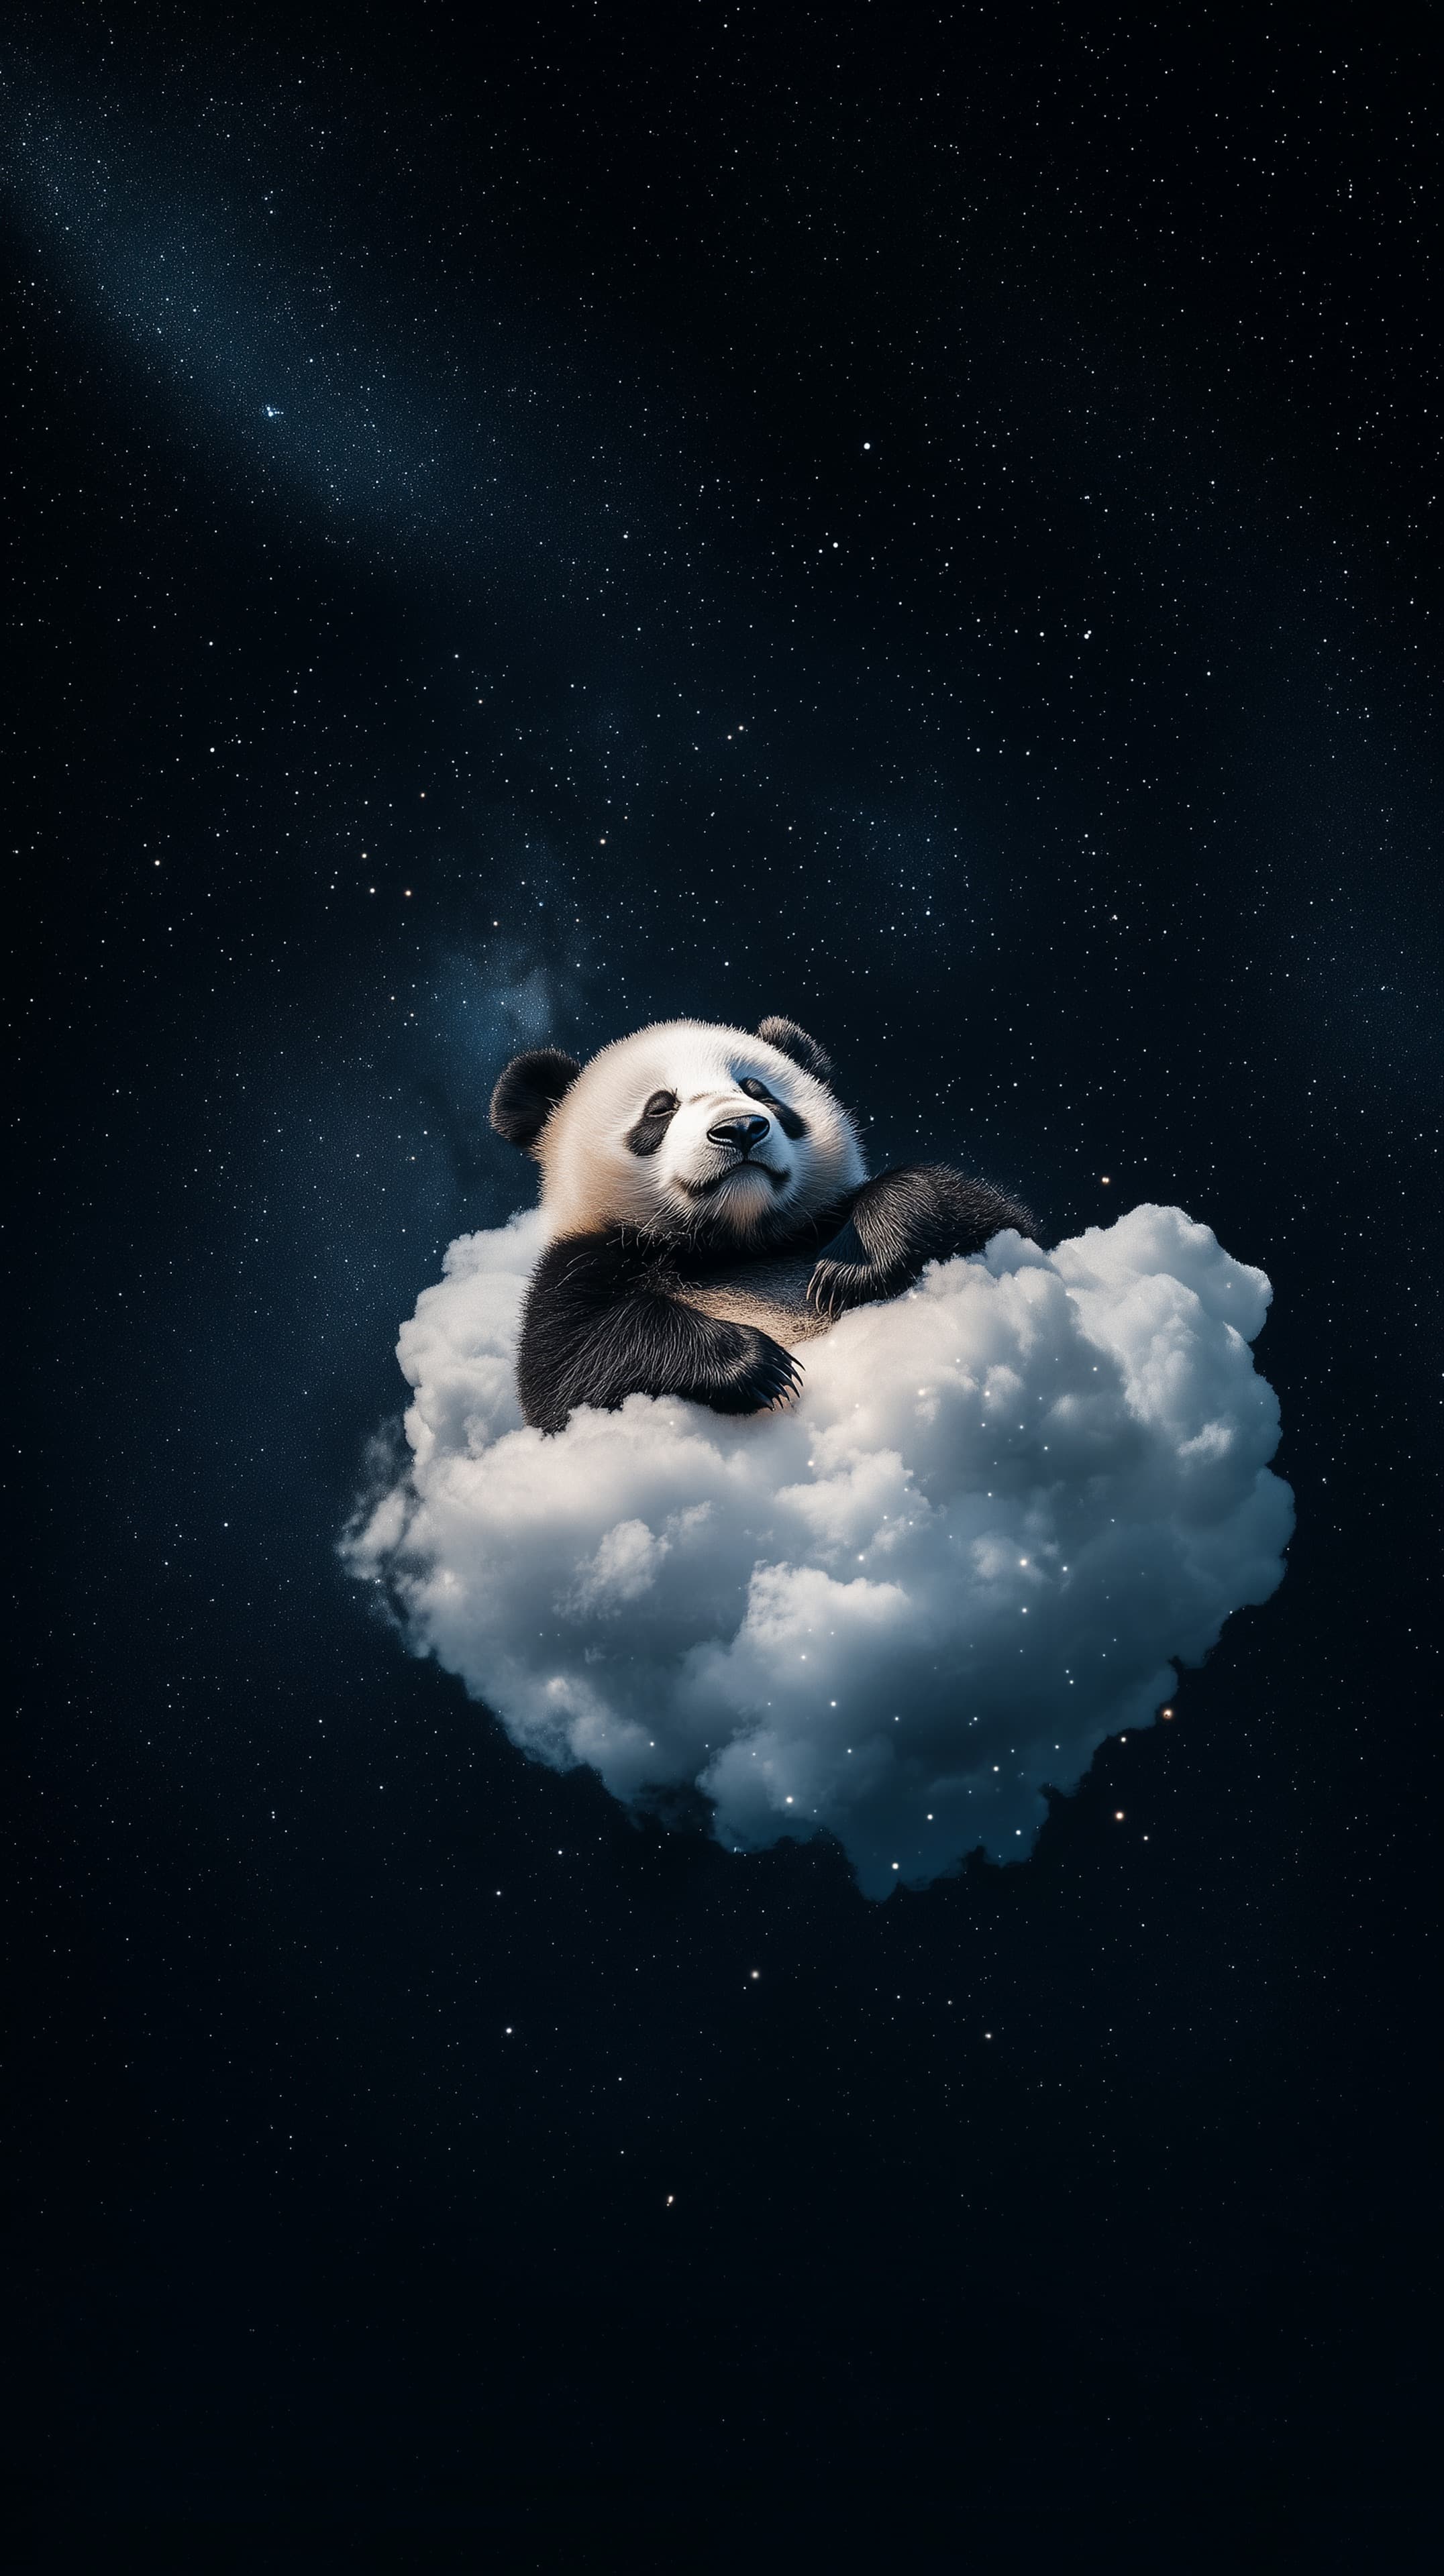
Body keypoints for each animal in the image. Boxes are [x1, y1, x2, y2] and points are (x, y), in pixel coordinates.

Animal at [490, 1015, 1036, 1434]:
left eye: (761, 1092)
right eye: (660, 1109)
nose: (740, 1128)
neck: (736, 1242)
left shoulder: (820, 1222)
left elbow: (982, 1213)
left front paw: (851, 1270)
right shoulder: (578, 1266)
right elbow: (570, 1365)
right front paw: (758, 1365)